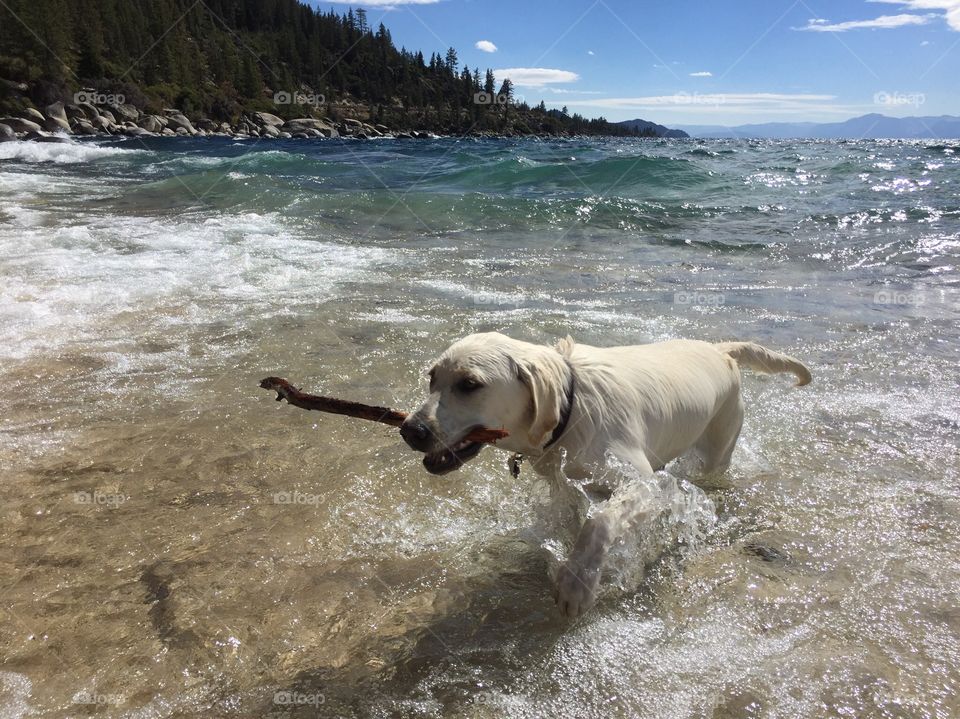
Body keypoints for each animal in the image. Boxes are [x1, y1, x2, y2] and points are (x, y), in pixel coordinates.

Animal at [398, 334, 808, 620]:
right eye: (432, 378)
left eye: (469, 384)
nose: (409, 430)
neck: (570, 410)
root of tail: (720, 349)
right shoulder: (563, 482)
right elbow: (574, 520)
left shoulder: (644, 484)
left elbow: (599, 521)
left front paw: (576, 586)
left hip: (717, 451)